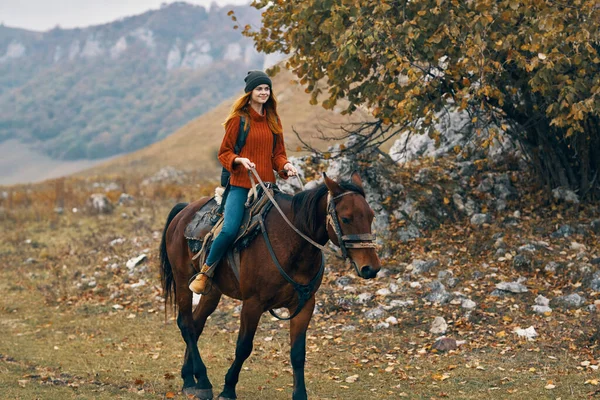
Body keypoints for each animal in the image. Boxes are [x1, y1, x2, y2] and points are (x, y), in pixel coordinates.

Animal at [158, 173, 380, 400]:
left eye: (371, 216)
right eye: (346, 218)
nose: (371, 268)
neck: (292, 244)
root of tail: (183, 212)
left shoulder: (304, 305)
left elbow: (298, 353)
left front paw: (300, 394)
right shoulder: (252, 304)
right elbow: (243, 347)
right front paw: (228, 389)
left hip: (212, 292)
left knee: (196, 324)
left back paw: (190, 379)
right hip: (183, 281)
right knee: (186, 324)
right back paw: (200, 381)